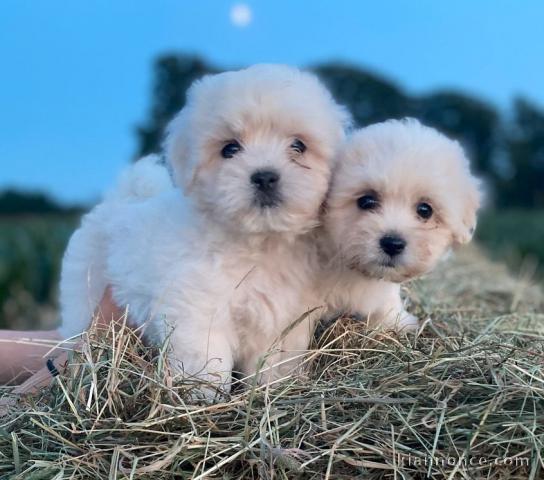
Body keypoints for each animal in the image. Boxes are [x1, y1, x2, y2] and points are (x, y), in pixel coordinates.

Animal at [59, 63, 348, 394]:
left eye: (298, 145)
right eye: (229, 149)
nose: (264, 177)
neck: (258, 244)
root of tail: (119, 201)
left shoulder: (282, 321)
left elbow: (273, 363)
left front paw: (270, 389)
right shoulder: (198, 311)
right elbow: (207, 360)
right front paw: (203, 396)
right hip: (83, 295)